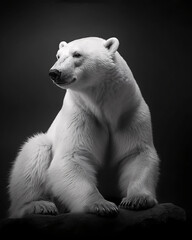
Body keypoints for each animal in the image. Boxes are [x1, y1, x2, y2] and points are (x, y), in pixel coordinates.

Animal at [8, 37, 160, 218]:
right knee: (35, 153)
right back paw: (38, 205)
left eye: (77, 54)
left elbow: (137, 153)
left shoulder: (131, 113)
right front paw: (102, 205)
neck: (105, 109)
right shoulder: (80, 115)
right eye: (58, 55)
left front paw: (137, 199)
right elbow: (71, 158)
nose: (54, 72)